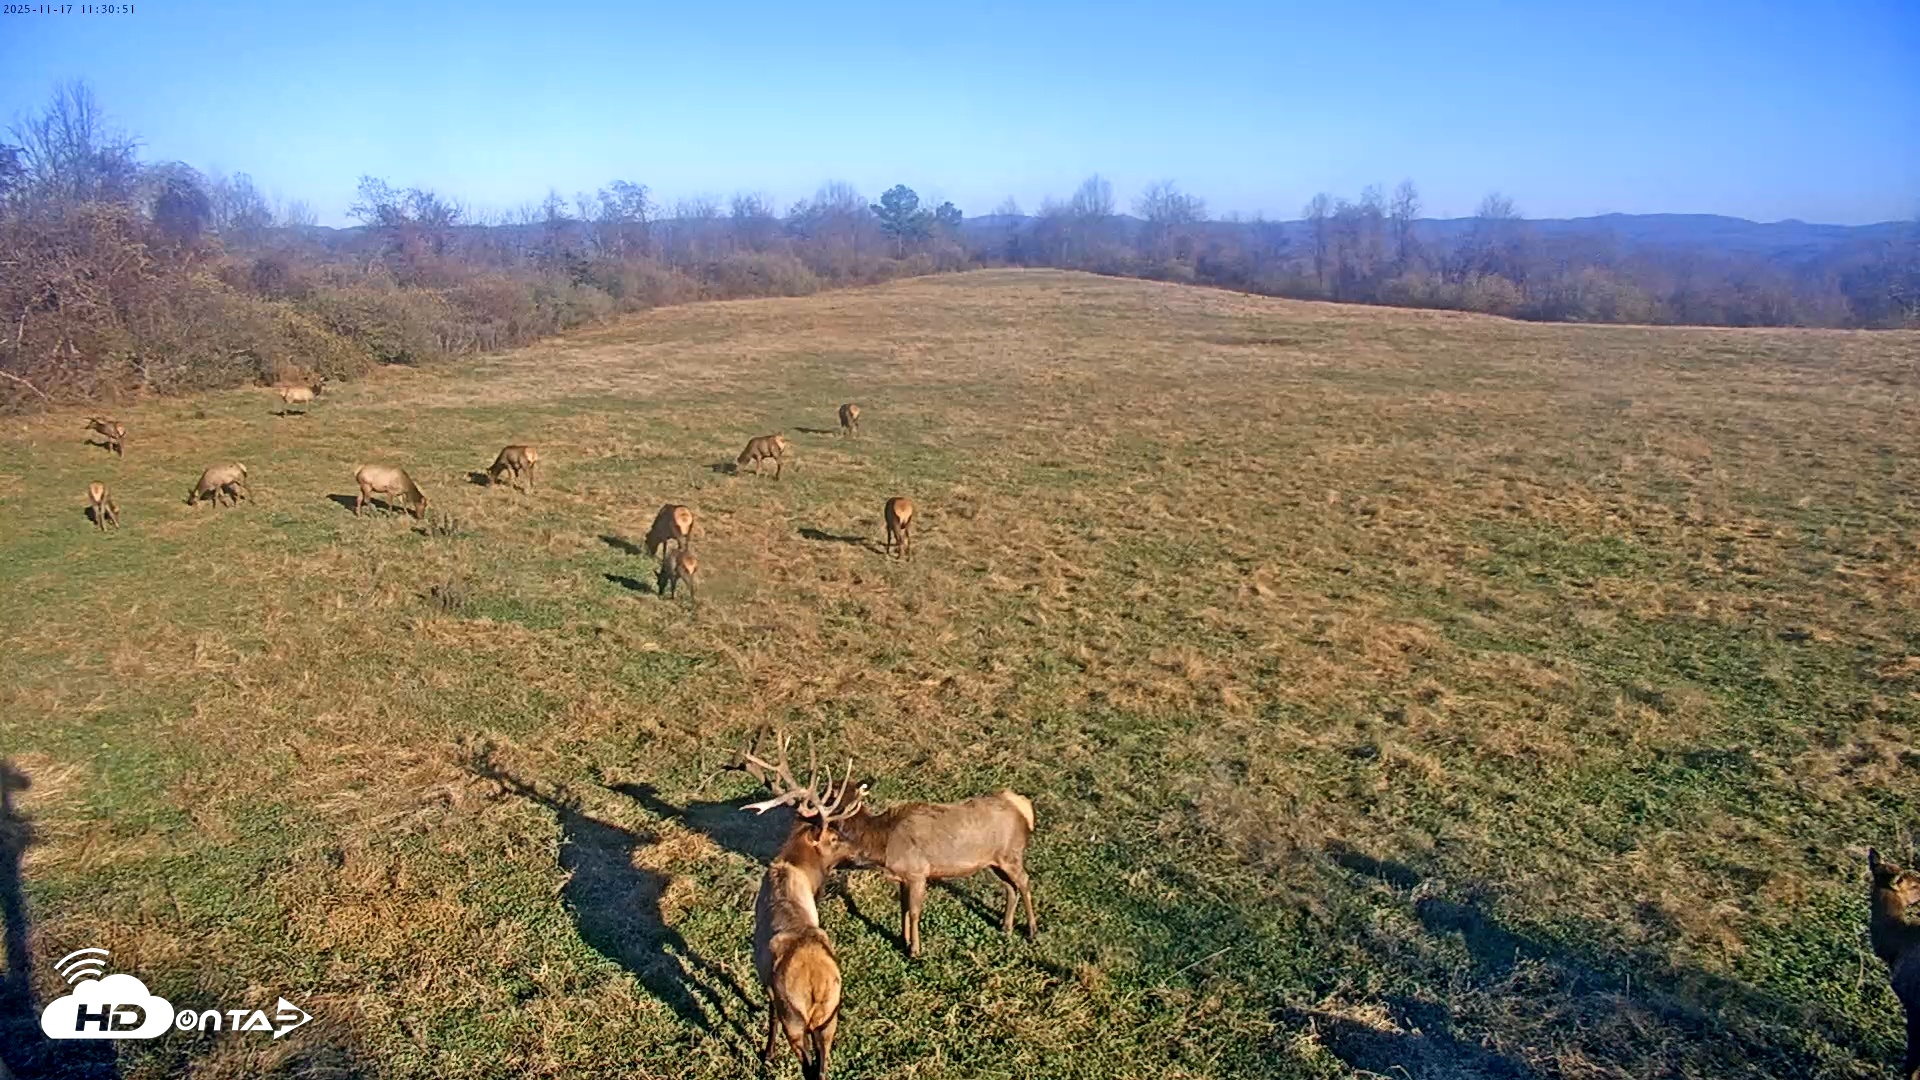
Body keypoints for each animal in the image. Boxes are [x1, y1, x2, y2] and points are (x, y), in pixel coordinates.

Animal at [731, 732, 868, 1080]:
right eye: (834, 837)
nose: (861, 852)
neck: (791, 870)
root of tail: (816, 986)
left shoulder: (767, 978)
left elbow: (768, 1012)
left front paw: (766, 1053)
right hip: (830, 1016)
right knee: (822, 1066)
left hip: (796, 1018)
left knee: (808, 1066)